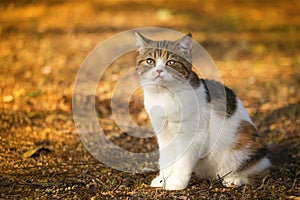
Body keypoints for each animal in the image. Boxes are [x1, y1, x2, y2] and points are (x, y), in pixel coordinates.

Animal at [135, 31, 270, 191]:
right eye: (150, 61)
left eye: (171, 63)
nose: (159, 70)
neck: (165, 95)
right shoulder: (164, 135)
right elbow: (166, 159)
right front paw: (163, 180)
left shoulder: (192, 136)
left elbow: (182, 162)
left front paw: (176, 183)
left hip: (242, 147)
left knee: (255, 169)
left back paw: (234, 179)